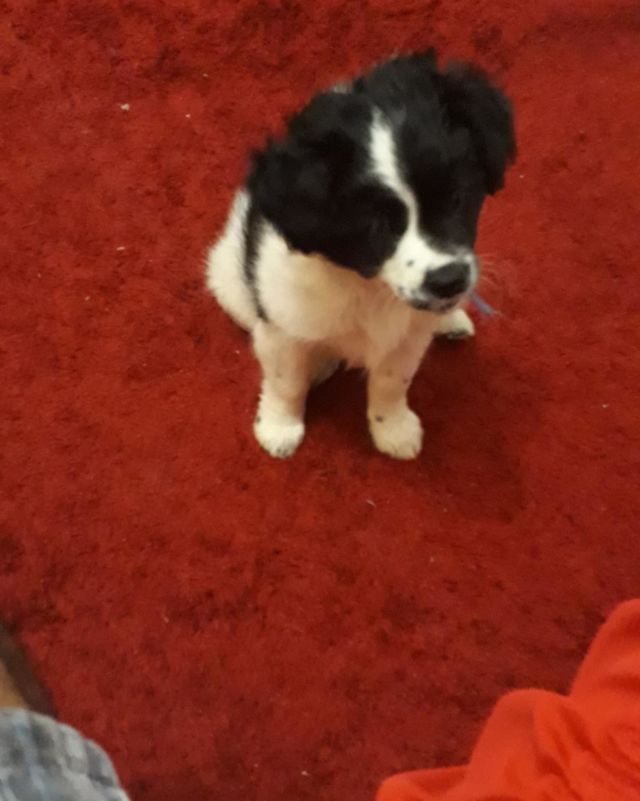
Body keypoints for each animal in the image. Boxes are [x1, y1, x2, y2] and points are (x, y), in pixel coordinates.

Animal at [206, 49, 515, 459]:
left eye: (456, 198)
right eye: (375, 225)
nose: (449, 281)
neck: (368, 287)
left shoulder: (406, 337)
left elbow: (392, 382)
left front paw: (392, 429)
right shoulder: (281, 324)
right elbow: (286, 381)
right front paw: (279, 426)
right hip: (229, 282)